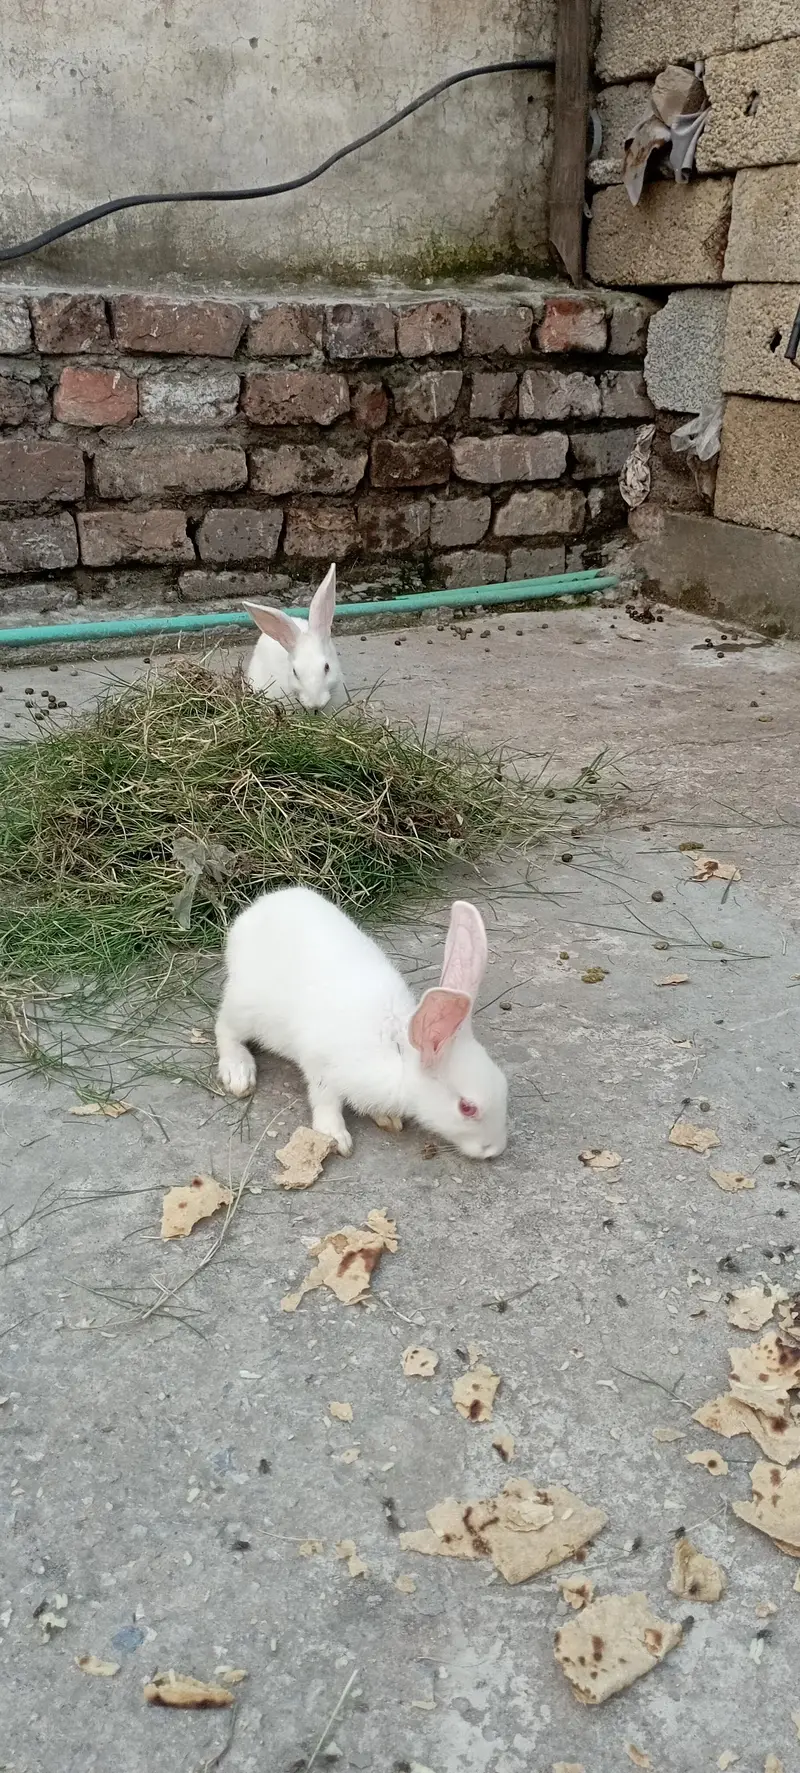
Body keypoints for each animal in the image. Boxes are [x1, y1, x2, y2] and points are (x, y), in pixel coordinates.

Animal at [215, 886, 507, 1160]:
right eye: (467, 1107)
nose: (495, 1150)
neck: (399, 1055)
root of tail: (254, 912)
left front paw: (387, 1118)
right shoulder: (322, 1066)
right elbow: (325, 1101)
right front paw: (335, 1137)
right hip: (246, 1009)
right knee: (225, 1029)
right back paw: (238, 1073)